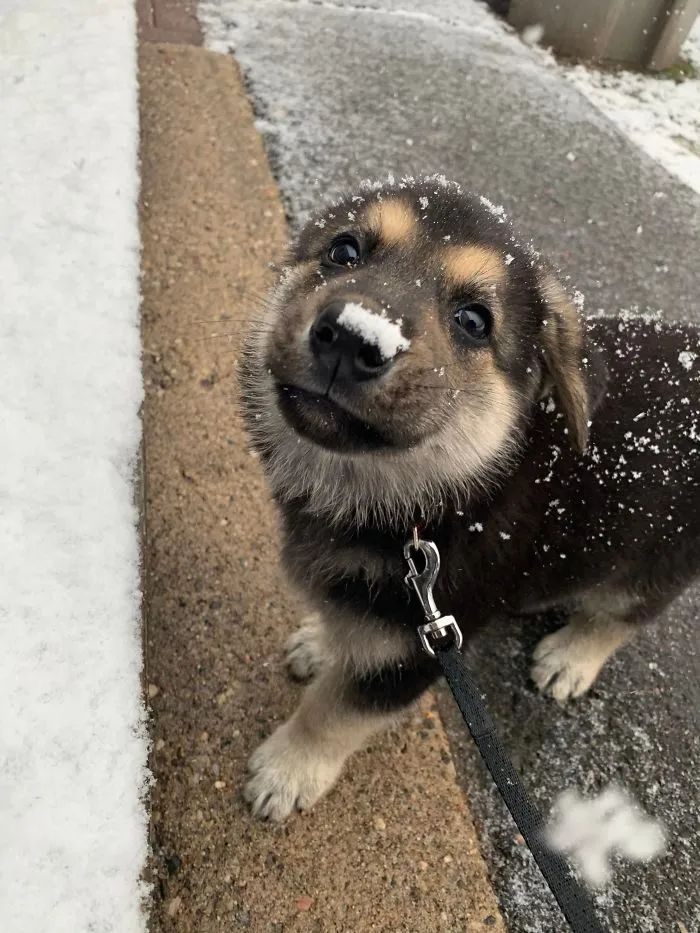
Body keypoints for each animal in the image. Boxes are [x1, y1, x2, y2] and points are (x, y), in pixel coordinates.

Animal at [238, 178, 696, 820]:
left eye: (474, 320)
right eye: (344, 251)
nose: (355, 337)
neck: (433, 501)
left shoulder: (416, 648)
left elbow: (334, 716)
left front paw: (288, 772)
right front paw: (323, 642)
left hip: (659, 557)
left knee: (621, 613)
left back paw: (571, 658)